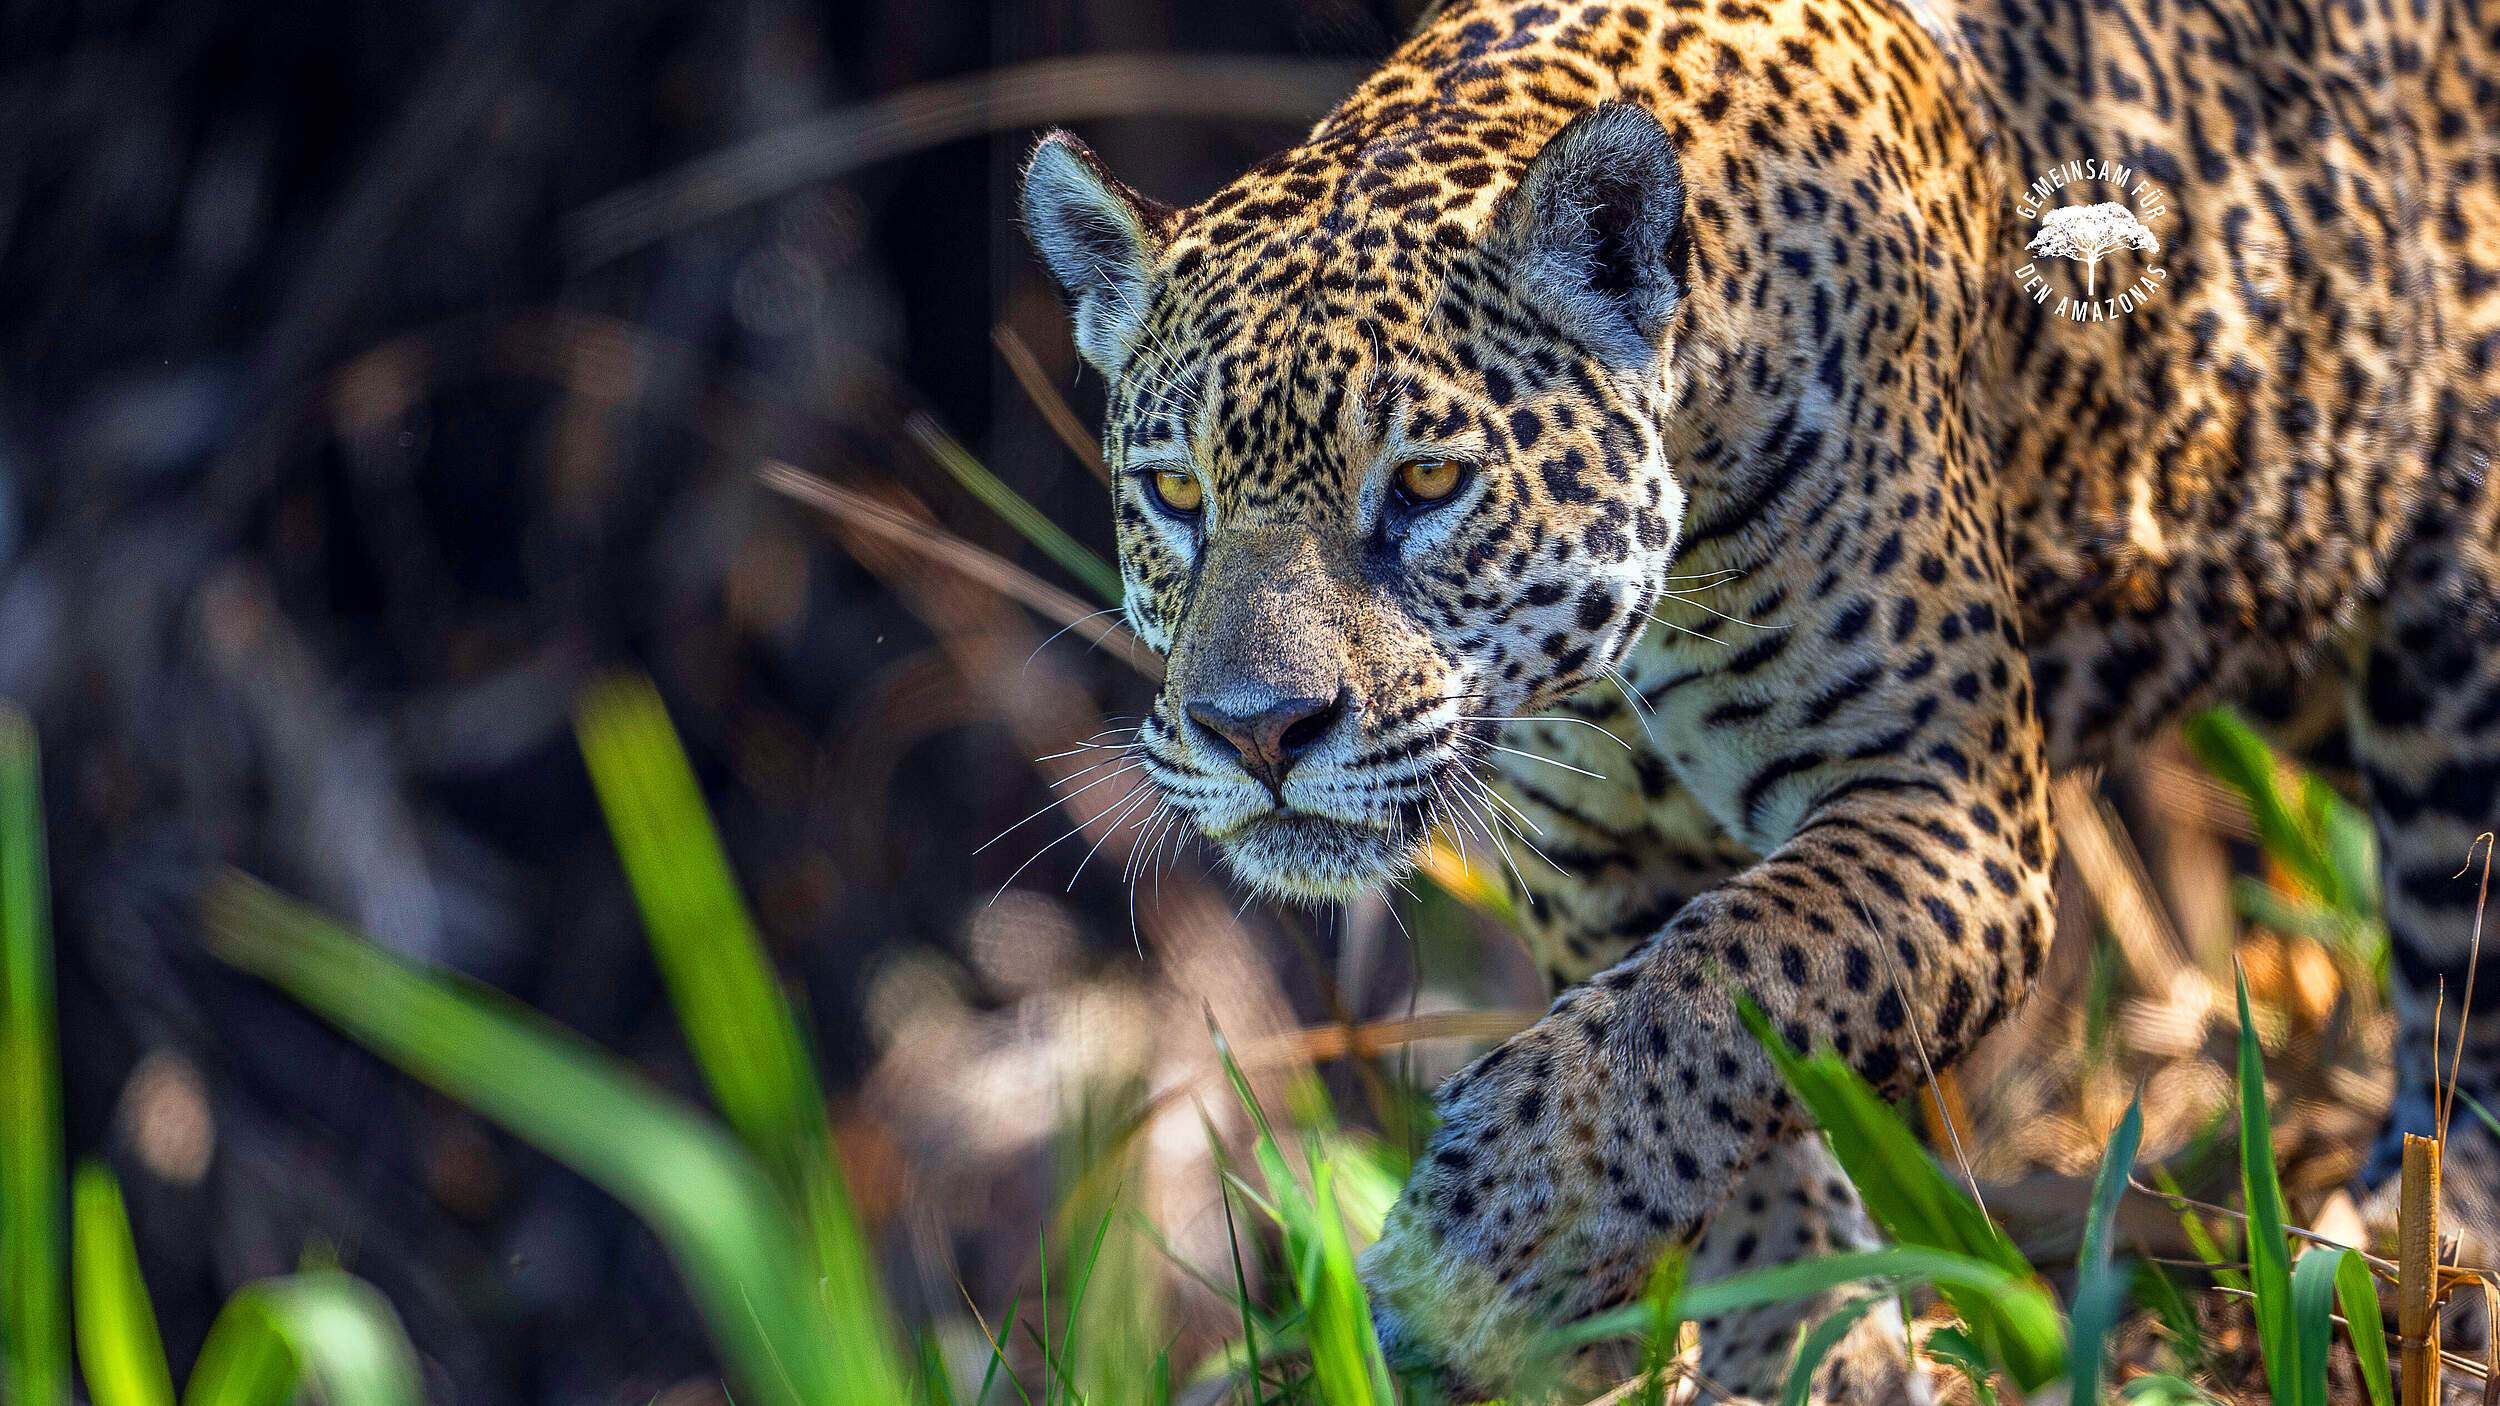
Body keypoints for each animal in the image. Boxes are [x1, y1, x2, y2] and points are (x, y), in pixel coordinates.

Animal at [1017, 0, 2500, 1393]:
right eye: (1175, 491)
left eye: (1431, 482)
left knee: (2462, 954)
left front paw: (1487, 1246)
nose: (1256, 729)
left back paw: (2422, 1251)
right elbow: (1698, 1048)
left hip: (2455, 641)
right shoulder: (1591, 859)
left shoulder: (1946, 800)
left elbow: (1723, 983)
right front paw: (1800, 1337)